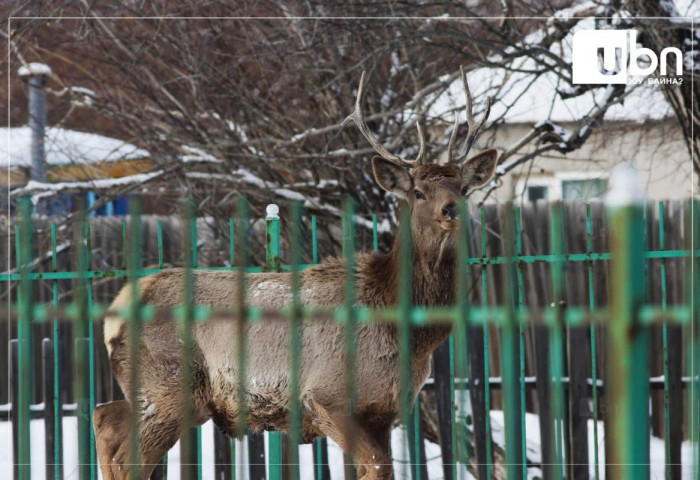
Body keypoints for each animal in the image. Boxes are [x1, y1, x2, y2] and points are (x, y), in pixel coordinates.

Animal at [94, 66, 498, 480]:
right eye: (417, 192)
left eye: (462, 187)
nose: (451, 209)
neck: (407, 332)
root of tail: (115, 313)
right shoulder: (326, 395)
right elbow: (378, 467)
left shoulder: (385, 411)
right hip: (170, 387)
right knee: (127, 457)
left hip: (155, 392)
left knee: (103, 418)